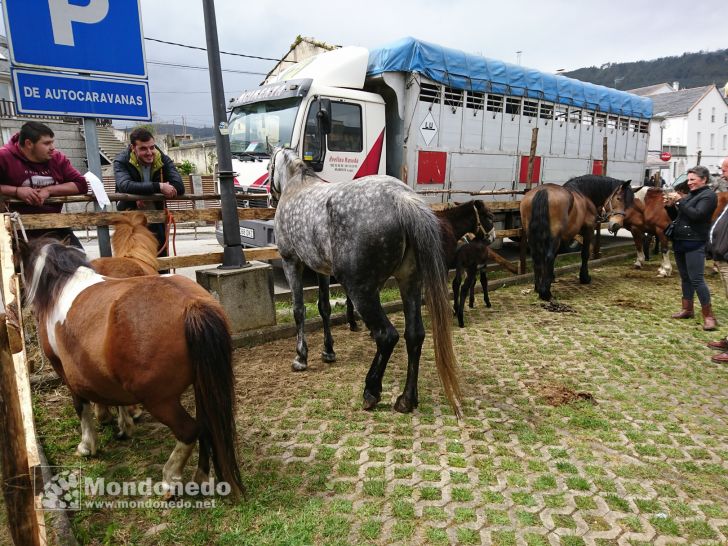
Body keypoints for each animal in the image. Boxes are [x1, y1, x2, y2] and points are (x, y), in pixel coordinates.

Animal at [17, 236, 243, 496]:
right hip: (201, 387)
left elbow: (80, 406)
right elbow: (117, 399)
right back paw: (201, 478)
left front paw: (87, 444)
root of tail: (192, 304)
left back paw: (170, 477)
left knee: (189, 430)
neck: (62, 284)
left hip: (159, 400)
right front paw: (124, 425)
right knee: (207, 426)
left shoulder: (63, 371)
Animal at [270, 147, 464, 414]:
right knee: (414, 335)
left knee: (387, 335)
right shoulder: (321, 270)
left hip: (361, 291)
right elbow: (324, 308)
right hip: (410, 282)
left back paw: (371, 391)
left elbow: (299, 310)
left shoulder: (291, 262)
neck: (297, 185)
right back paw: (406, 399)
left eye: (269, 166)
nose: (270, 197)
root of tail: (401, 198)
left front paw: (301, 357)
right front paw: (328, 351)